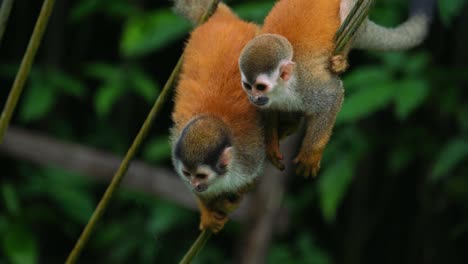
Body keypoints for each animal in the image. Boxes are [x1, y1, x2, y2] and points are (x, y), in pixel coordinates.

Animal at [171, 0, 264, 232]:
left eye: (201, 175)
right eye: (188, 175)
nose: (195, 184)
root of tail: (221, 21)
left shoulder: (250, 159)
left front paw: (234, 199)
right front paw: (207, 210)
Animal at [239, 0, 434, 177]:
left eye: (261, 87)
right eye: (248, 86)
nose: (253, 98)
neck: (283, 88)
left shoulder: (306, 85)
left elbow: (332, 97)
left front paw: (310, 154)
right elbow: (268, 112)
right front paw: (271, 144)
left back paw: (339, 62)